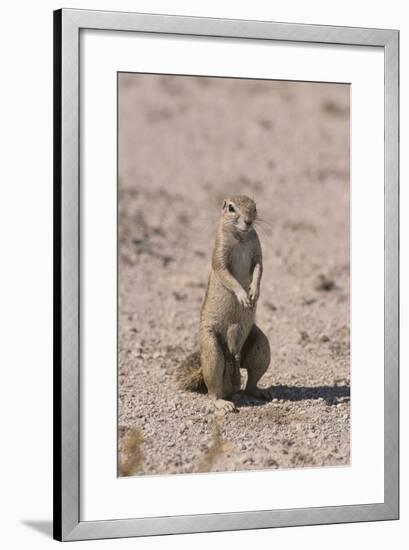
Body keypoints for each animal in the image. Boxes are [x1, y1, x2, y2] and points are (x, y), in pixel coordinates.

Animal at [180, 194, 272, 414]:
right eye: (231, 208)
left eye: (254, 208)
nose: (248, 222)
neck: (241, 236)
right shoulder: (219, 254)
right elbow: (225, 274)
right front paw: (243, 295)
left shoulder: (257, 251)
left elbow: (259, 268)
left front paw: (254, 291)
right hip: (212, 351)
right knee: (213, 390)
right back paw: (223, 403)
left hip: (261, 347)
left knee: (250, 382)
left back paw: (258, 391)